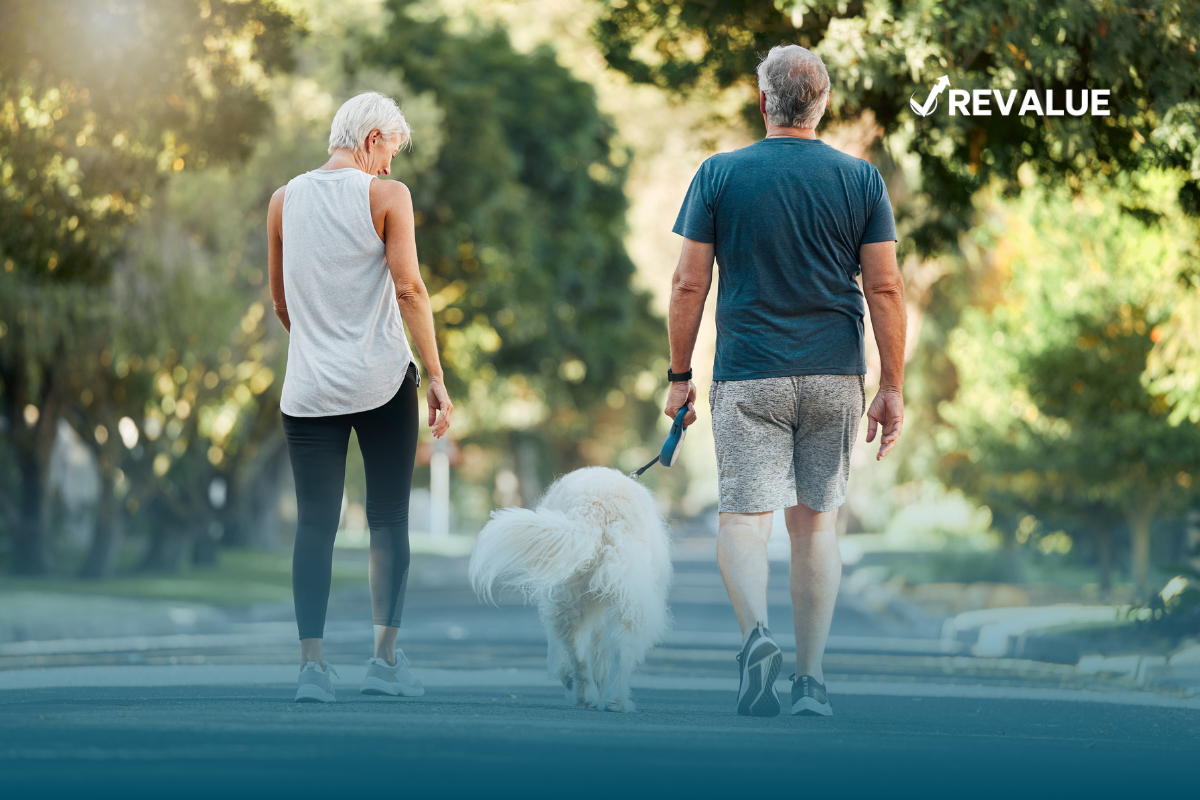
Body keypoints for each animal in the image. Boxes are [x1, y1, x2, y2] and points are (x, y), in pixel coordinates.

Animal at [468, 465, 676, 714]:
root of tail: (596, 507)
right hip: (618, 600)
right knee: (615, 651)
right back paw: (610, 699)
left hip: (581, 598)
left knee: (583, 651)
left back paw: (592, 696)